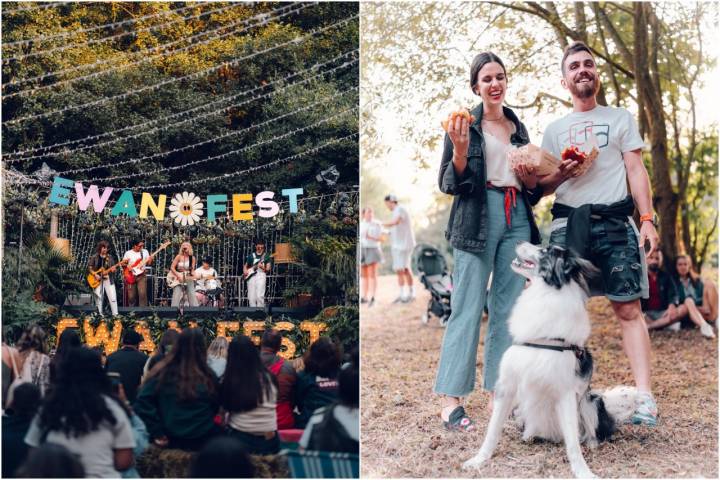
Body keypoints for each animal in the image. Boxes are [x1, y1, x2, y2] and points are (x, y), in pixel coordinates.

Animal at [462, 246, 636, 478]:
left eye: (544, 251)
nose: (520, 242)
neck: (545, 293)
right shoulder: (508, 386)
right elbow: (492, 429)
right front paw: (479, 460)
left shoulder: (566, 393)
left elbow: (573, 443)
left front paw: (583, 471)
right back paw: (529, 435)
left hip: (591, 401)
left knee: (590, 431)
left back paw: (591, 443)